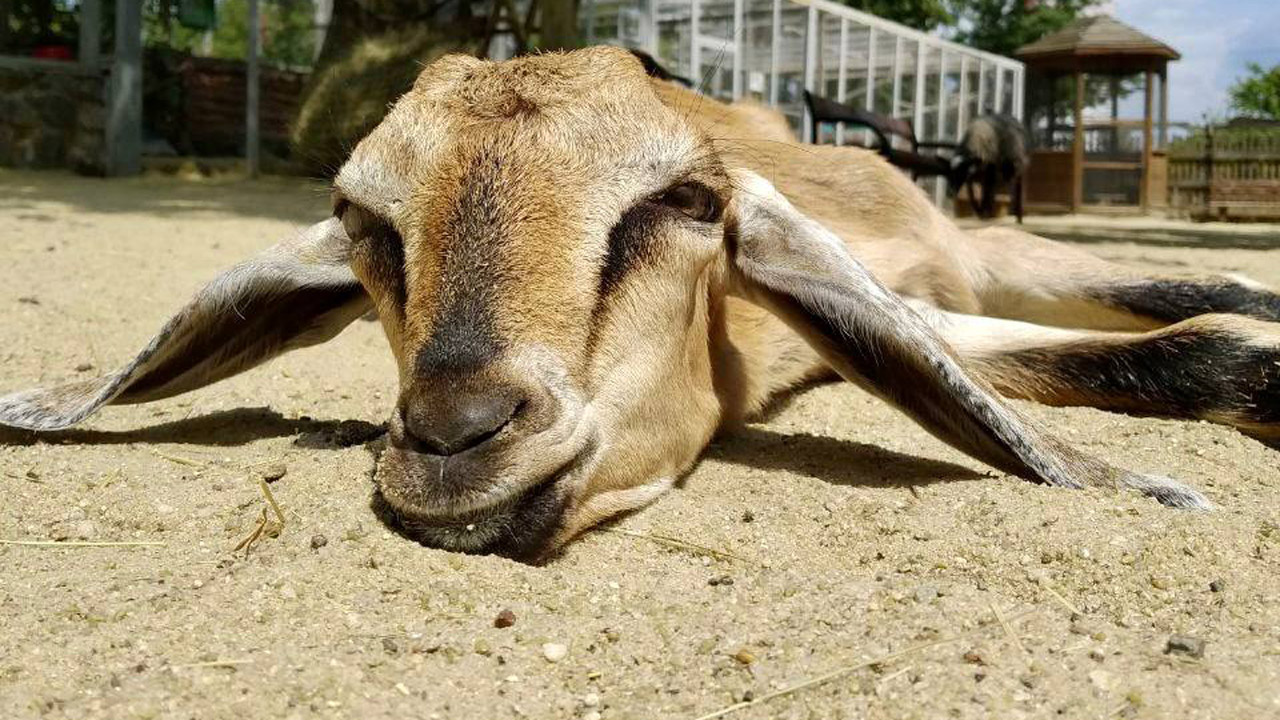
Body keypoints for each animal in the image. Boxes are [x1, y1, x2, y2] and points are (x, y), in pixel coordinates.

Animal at [2, 47, 1280, 561]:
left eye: (683, 198)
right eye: (363, 220)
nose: (457, 437)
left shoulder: (944, 267)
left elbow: (1196, 319)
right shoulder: (920, 311)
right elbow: (1181, 346)